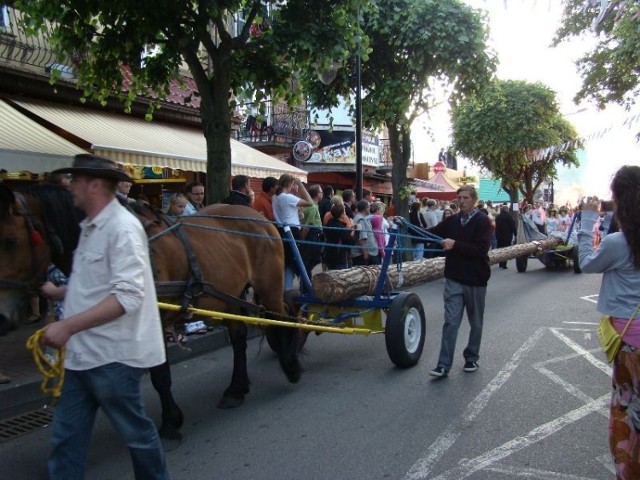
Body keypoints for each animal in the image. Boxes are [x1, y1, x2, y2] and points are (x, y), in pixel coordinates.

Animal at [0, 183, 302, 438]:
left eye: (10, 240)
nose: (2, 317)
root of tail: (258, 217)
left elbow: (159, 374)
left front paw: (170, 421)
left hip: (268, 286)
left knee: (281, 320)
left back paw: (290, 366)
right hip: (230, 295)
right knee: (239, 338)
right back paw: (236, 389)